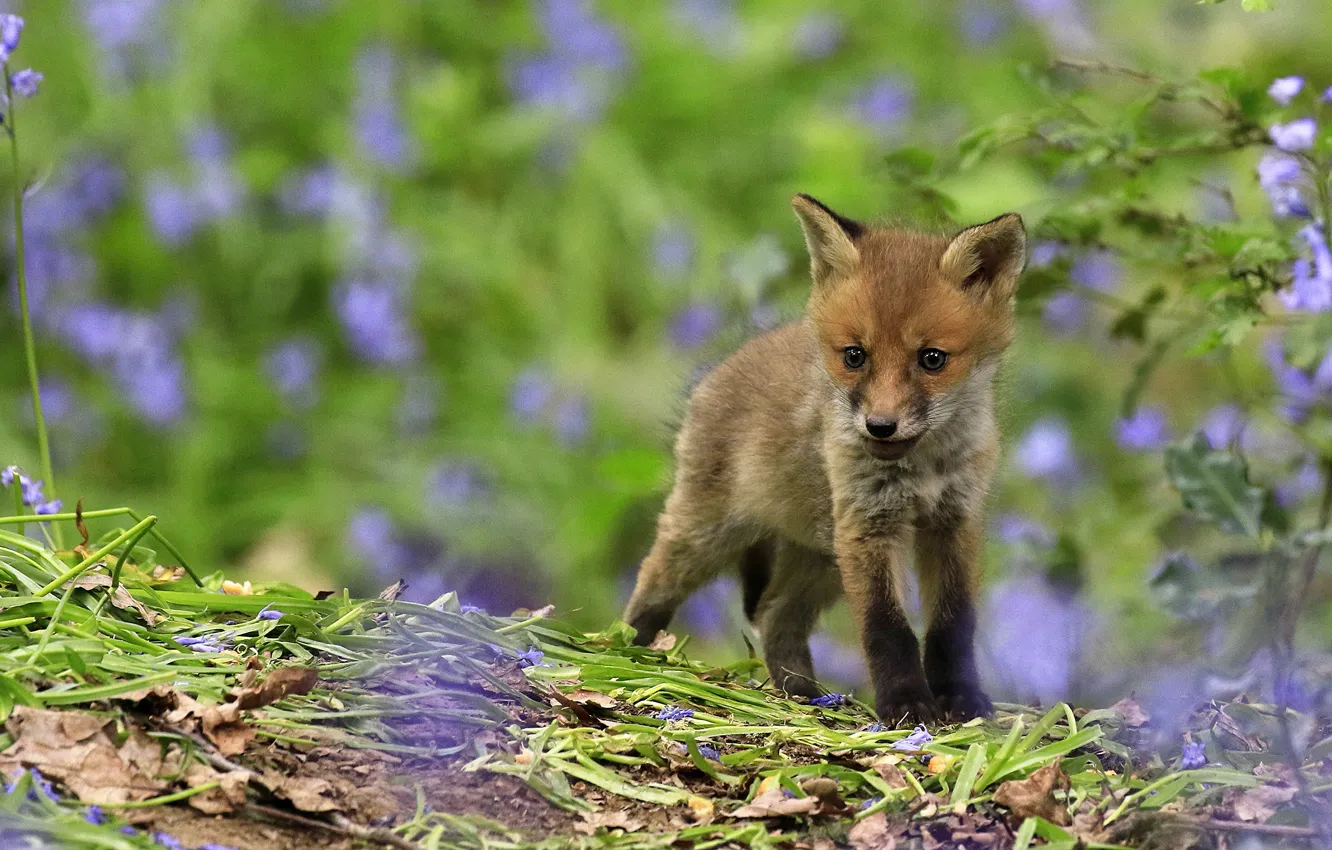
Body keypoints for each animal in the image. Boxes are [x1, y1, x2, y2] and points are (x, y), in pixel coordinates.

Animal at [622, 194, 1027, 724]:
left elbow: (953, 624)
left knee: (774, 615)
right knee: (656, 576)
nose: (880, 425)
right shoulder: (866, 526)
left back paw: (803, 696)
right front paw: (906, 704)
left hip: (822, 558)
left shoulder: (955, 522)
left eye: (932, 359)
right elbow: (886, 628)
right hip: (713, 533)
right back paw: (624, 648)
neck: (924, 469)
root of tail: (724, 365)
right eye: (855, 356)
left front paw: (959, 699)